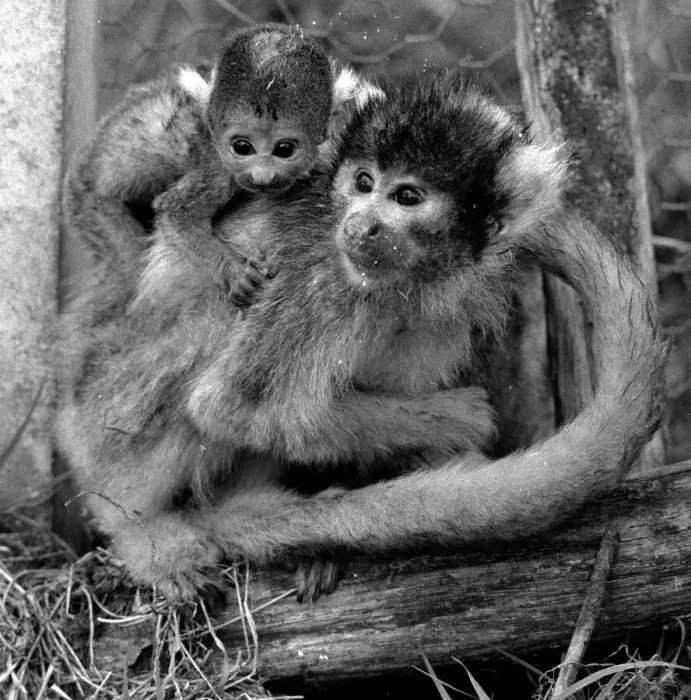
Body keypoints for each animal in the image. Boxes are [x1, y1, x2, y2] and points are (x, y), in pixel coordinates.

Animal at [55, 70, 665, 603]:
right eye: (364, 183)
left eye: (407, 197)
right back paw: (140, 527)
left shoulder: (451, 287)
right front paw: (454, 420)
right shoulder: (328, 278)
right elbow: (234, 407)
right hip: (105, 414)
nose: (360, 225)